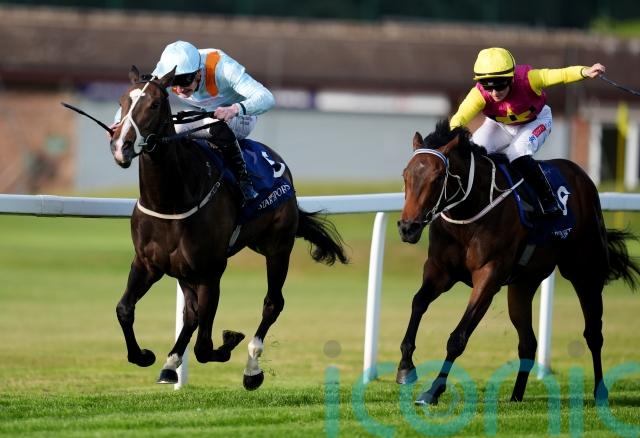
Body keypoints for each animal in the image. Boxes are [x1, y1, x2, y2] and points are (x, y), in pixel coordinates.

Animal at [109, 66, 348, 390]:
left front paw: (230, 340)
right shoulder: (148, 264)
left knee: (272, 303)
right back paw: (170, 364)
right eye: (122, 101)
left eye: (155, 104)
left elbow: (204, 346)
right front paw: (145, 356)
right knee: (191, 315)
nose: (120, 145)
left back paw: (252, 368)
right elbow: (125, 309)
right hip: (187, 270)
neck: (170, 201)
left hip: (277, 247)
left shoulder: (211, 271)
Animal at [396, 120, 640, 405]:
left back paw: (600, 391)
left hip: (583, 272)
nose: (408, 228)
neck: (470, 211)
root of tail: (581, 177)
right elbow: (418, 303)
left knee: (593, 333)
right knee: (528, 343)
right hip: (523, 284)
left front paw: (433, 390)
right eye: (405, 175)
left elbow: (458, 337)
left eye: (437, 179)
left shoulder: (488, 276)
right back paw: (516, 395)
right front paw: (405, 366)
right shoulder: (439, 271)